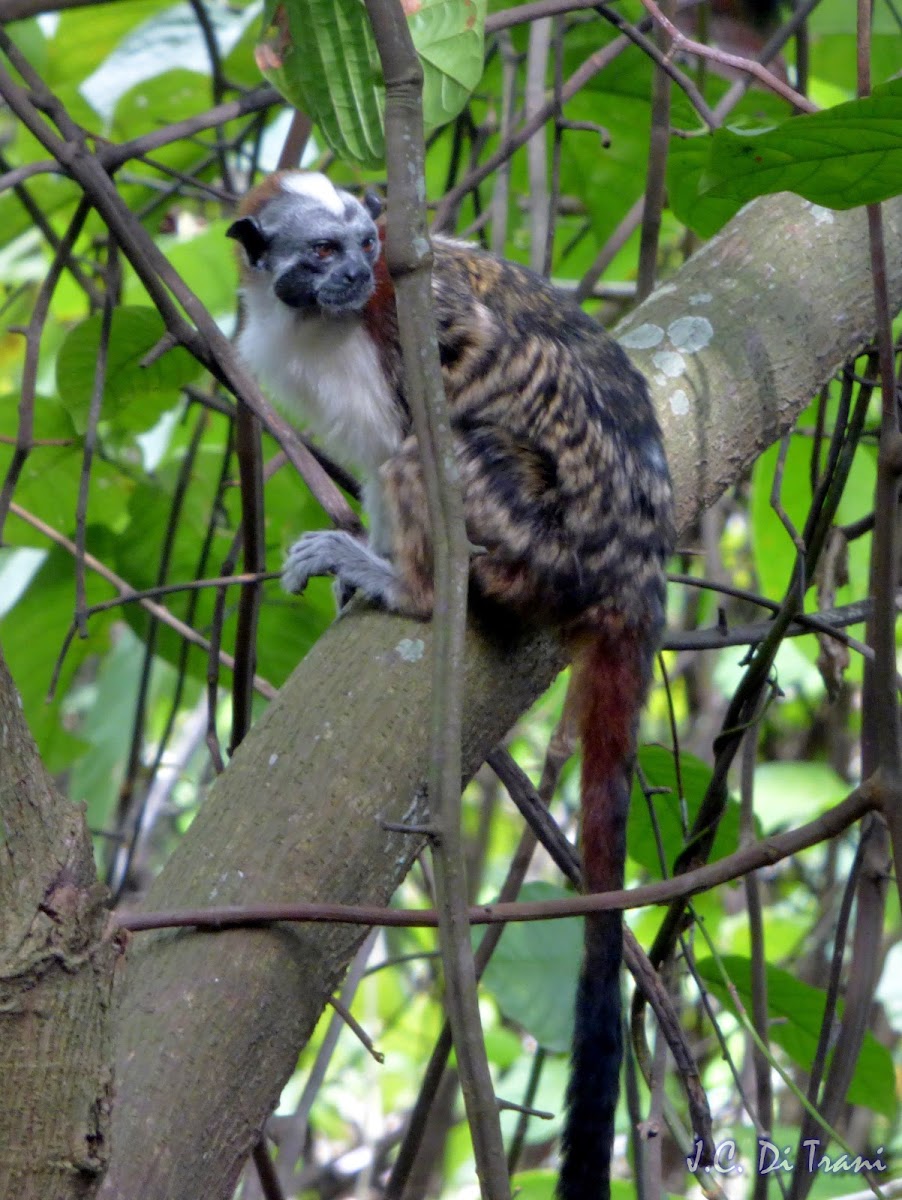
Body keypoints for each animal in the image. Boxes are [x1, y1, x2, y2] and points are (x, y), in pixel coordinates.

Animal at [229, 174, 671, 1200]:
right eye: (320, 252)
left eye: (363, 244)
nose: (355, 273)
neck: (321, 321)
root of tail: (629, 564)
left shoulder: (408, 311)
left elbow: (433, 401)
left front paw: (387, 567)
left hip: (534, 535)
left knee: (431, 454)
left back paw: (418, 592)